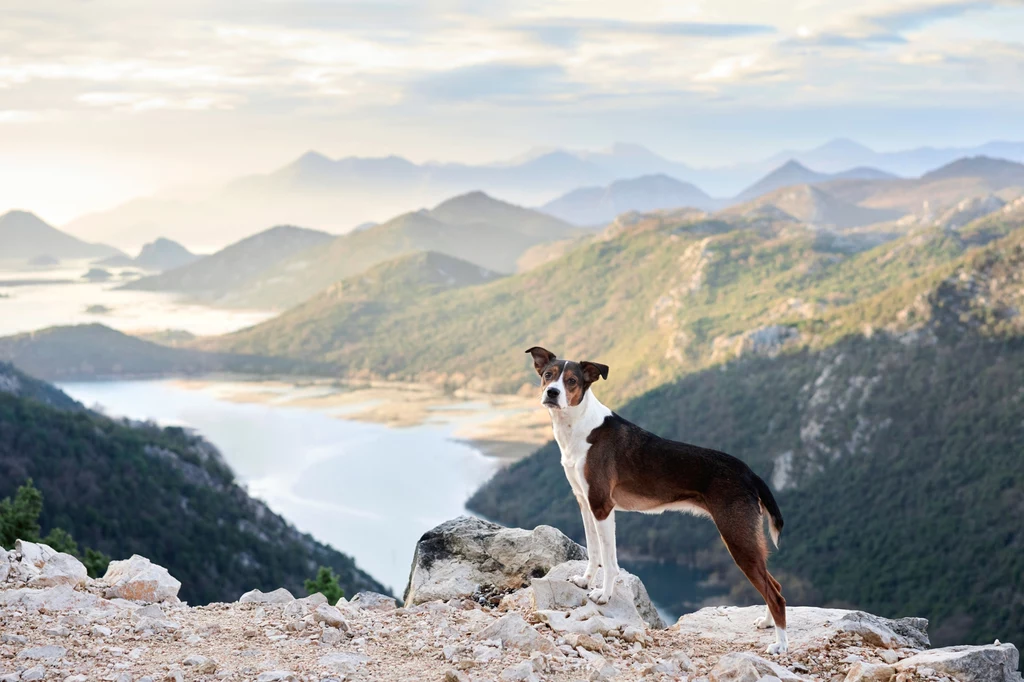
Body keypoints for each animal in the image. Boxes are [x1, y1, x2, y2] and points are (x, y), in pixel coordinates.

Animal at [528, 346, 790, 655]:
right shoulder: (585, 503)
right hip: (746, 538)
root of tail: (750, 473)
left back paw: (781, 644)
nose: (552, 393)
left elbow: (610, 560)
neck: (579, 427)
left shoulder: (602, 506)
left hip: (737, 537)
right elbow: (593, 551)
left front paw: (604, 595)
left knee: (775, 594)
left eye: (571, 381)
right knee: (774, 584)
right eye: (548, 375)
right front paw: (584, 580)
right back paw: (768, 623)